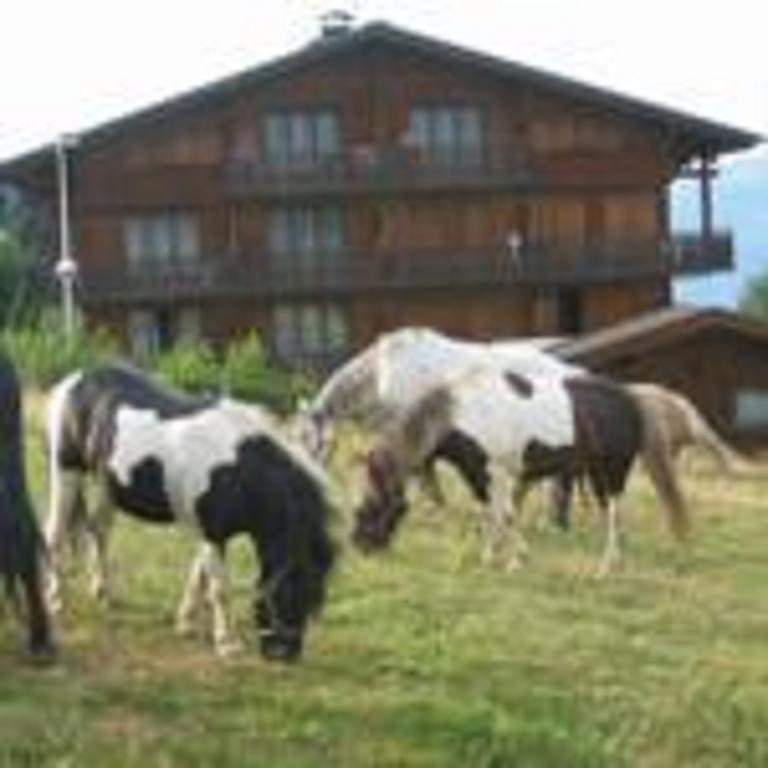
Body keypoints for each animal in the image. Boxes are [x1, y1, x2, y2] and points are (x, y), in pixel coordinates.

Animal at [45, 366, 336, 660]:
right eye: (291, 591)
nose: (284, 653)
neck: (240, 469)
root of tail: (75, 380)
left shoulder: (208, 532)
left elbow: (198, 576)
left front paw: (185, 623)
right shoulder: (213, 534)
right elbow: (219, 588)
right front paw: (227, 644)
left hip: (111, 488)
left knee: (98, 531)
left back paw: (103, 593)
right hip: (66, 472)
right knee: (55, 534)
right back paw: (55, 599)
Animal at [352, 366, 688, 576]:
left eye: (370, 507)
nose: (362, 549)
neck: (464, 412)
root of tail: (630, 399)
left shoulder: (498, 473)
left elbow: (507, 514)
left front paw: (516, 561)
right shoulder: (477, 475)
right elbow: (490, 513)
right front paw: (490, 557)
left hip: (610, 472)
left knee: (614, 514)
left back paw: (606, 567)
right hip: (598, 474)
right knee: (612, 515)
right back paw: (615, 563)